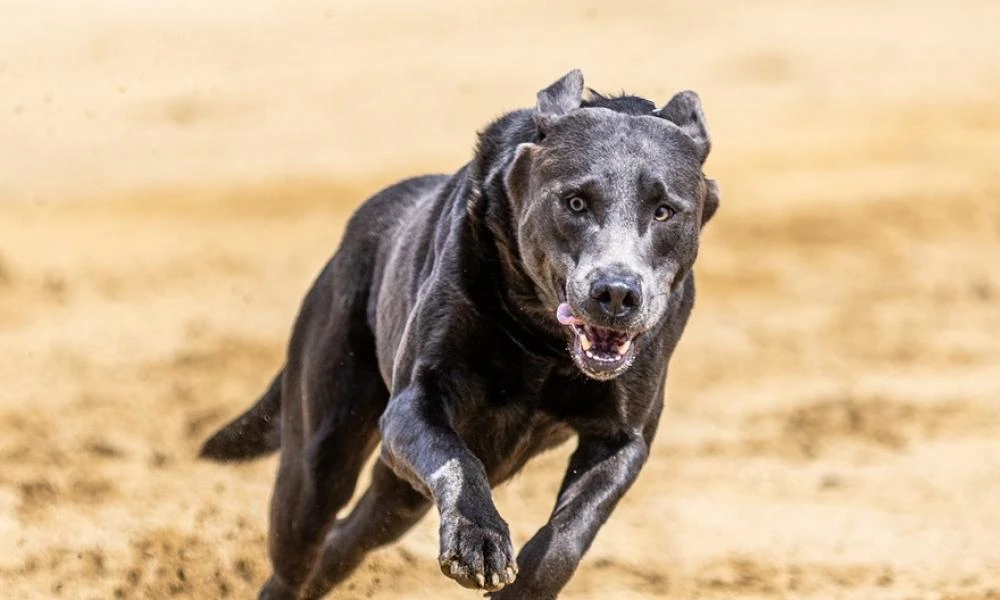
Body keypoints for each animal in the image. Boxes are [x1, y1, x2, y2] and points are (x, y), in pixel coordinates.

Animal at [201, 68, 720, 596]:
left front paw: (522, 587)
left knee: (348, 539)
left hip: (398, 496)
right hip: (319, 457)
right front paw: (480, 540)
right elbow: (456, 459)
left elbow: (569, 535)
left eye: (663, 211)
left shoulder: (622, 439)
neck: (543, 342)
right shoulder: (415, 402)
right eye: (575, 202)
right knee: (299, 548)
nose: (615, 293)